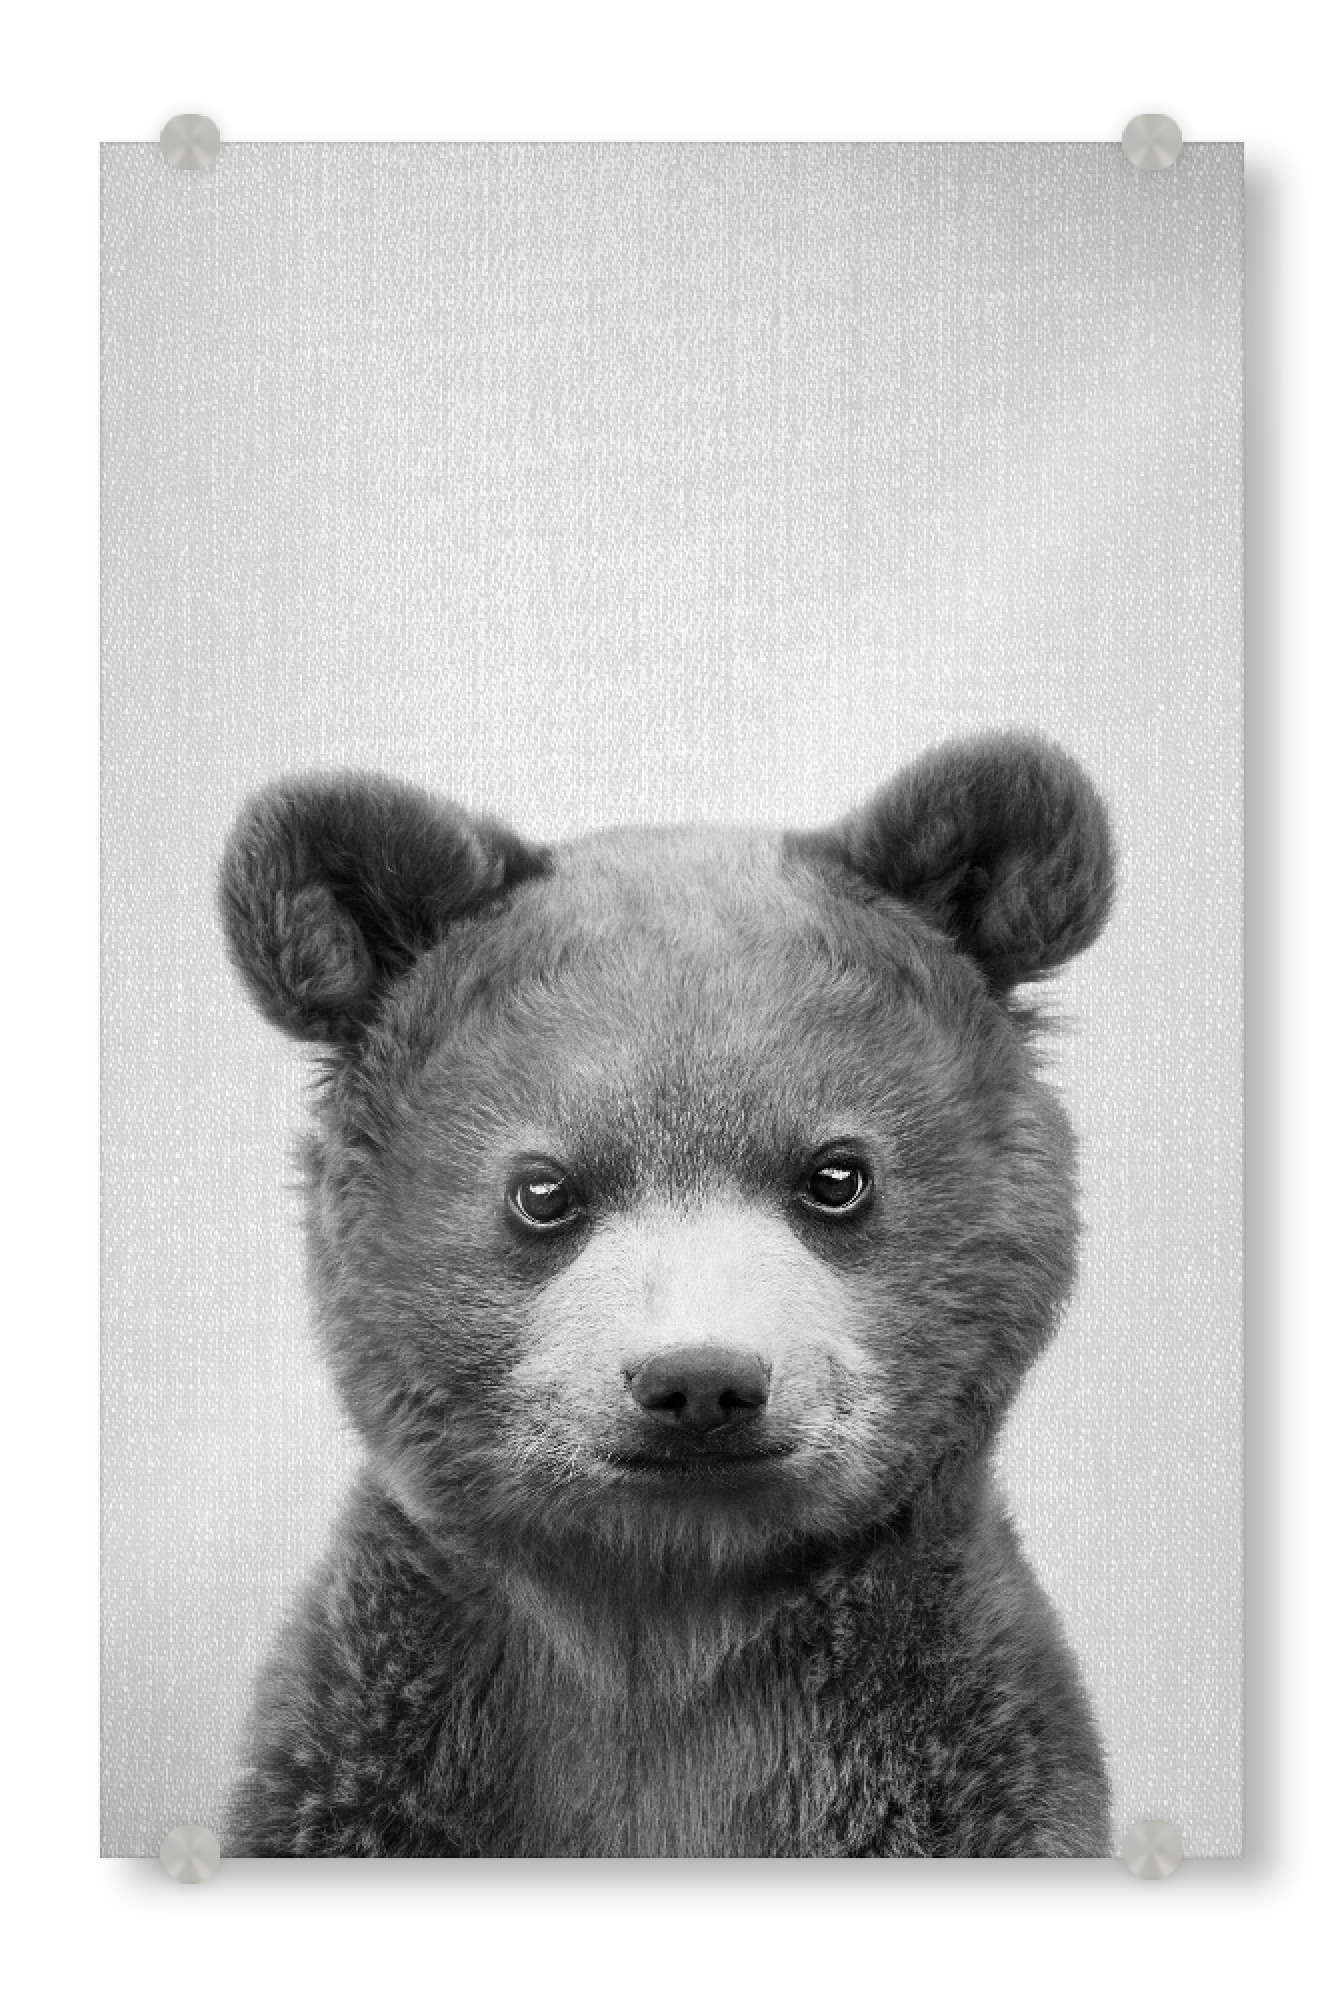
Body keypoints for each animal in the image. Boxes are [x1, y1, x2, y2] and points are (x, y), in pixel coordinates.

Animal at [217, 731, 1115, 1858]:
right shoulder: (376, 1749)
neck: (666, 1610)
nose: (701, 1380)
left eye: (837, 1173)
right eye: (543, 1188)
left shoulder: (958, 1755)